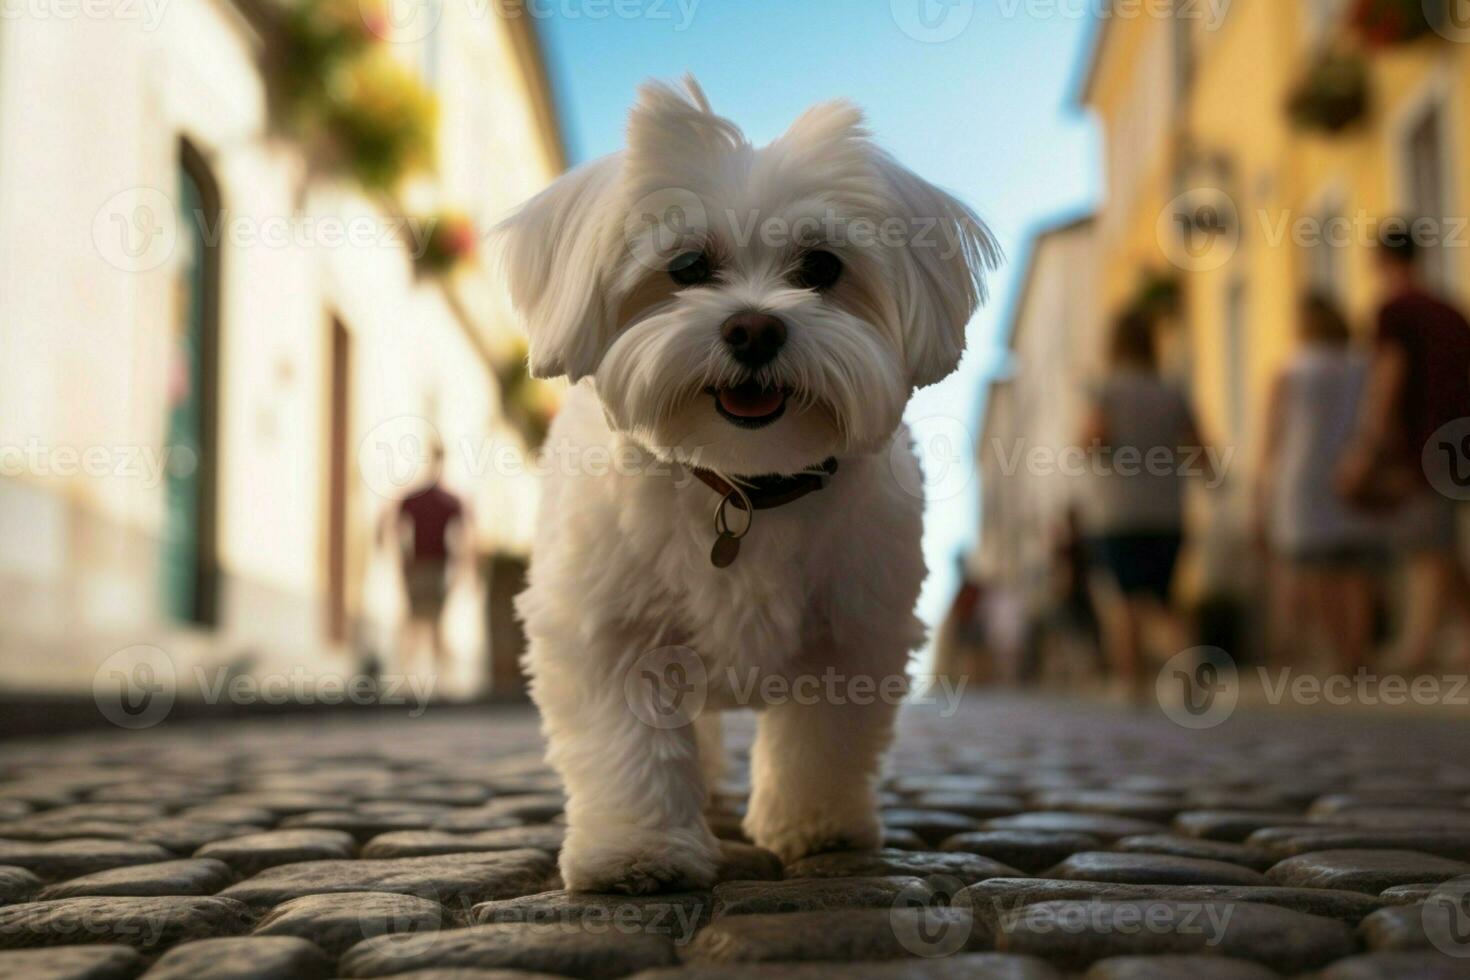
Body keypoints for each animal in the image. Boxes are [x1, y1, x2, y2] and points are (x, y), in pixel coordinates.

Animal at [496, 78, 999, 899]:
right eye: (686, 265)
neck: (742, 482)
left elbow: (822, 739)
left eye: (821, 267)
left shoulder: (852, 631)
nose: (755, 329)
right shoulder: (609, 629)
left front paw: (815, 827)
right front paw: (639, 850)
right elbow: (626, 746)